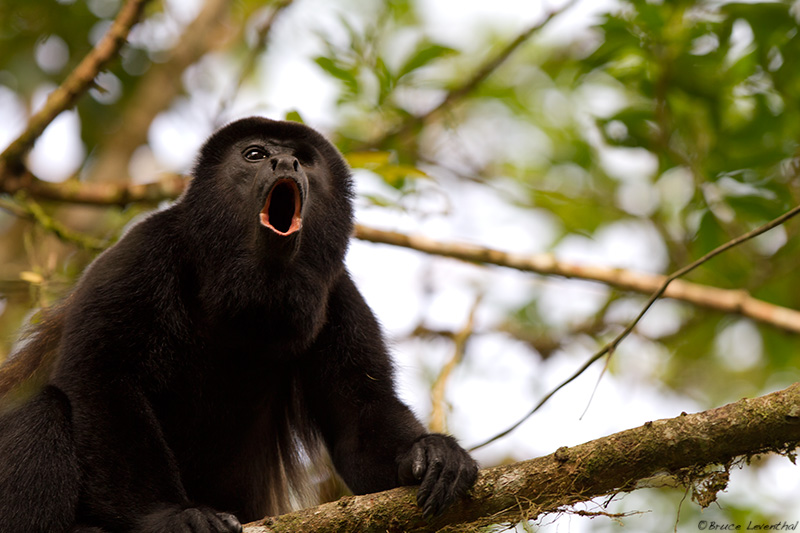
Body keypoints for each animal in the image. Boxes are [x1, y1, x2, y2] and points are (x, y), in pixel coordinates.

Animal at [0, 117, 478, 532]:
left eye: (303, 159)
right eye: (255, 154)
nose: (285, 163)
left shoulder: (339, 295)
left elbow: (358, 418)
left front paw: (426, 453)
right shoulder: (138, 255)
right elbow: (102, 382)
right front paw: (170, 516)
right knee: (40, 407)